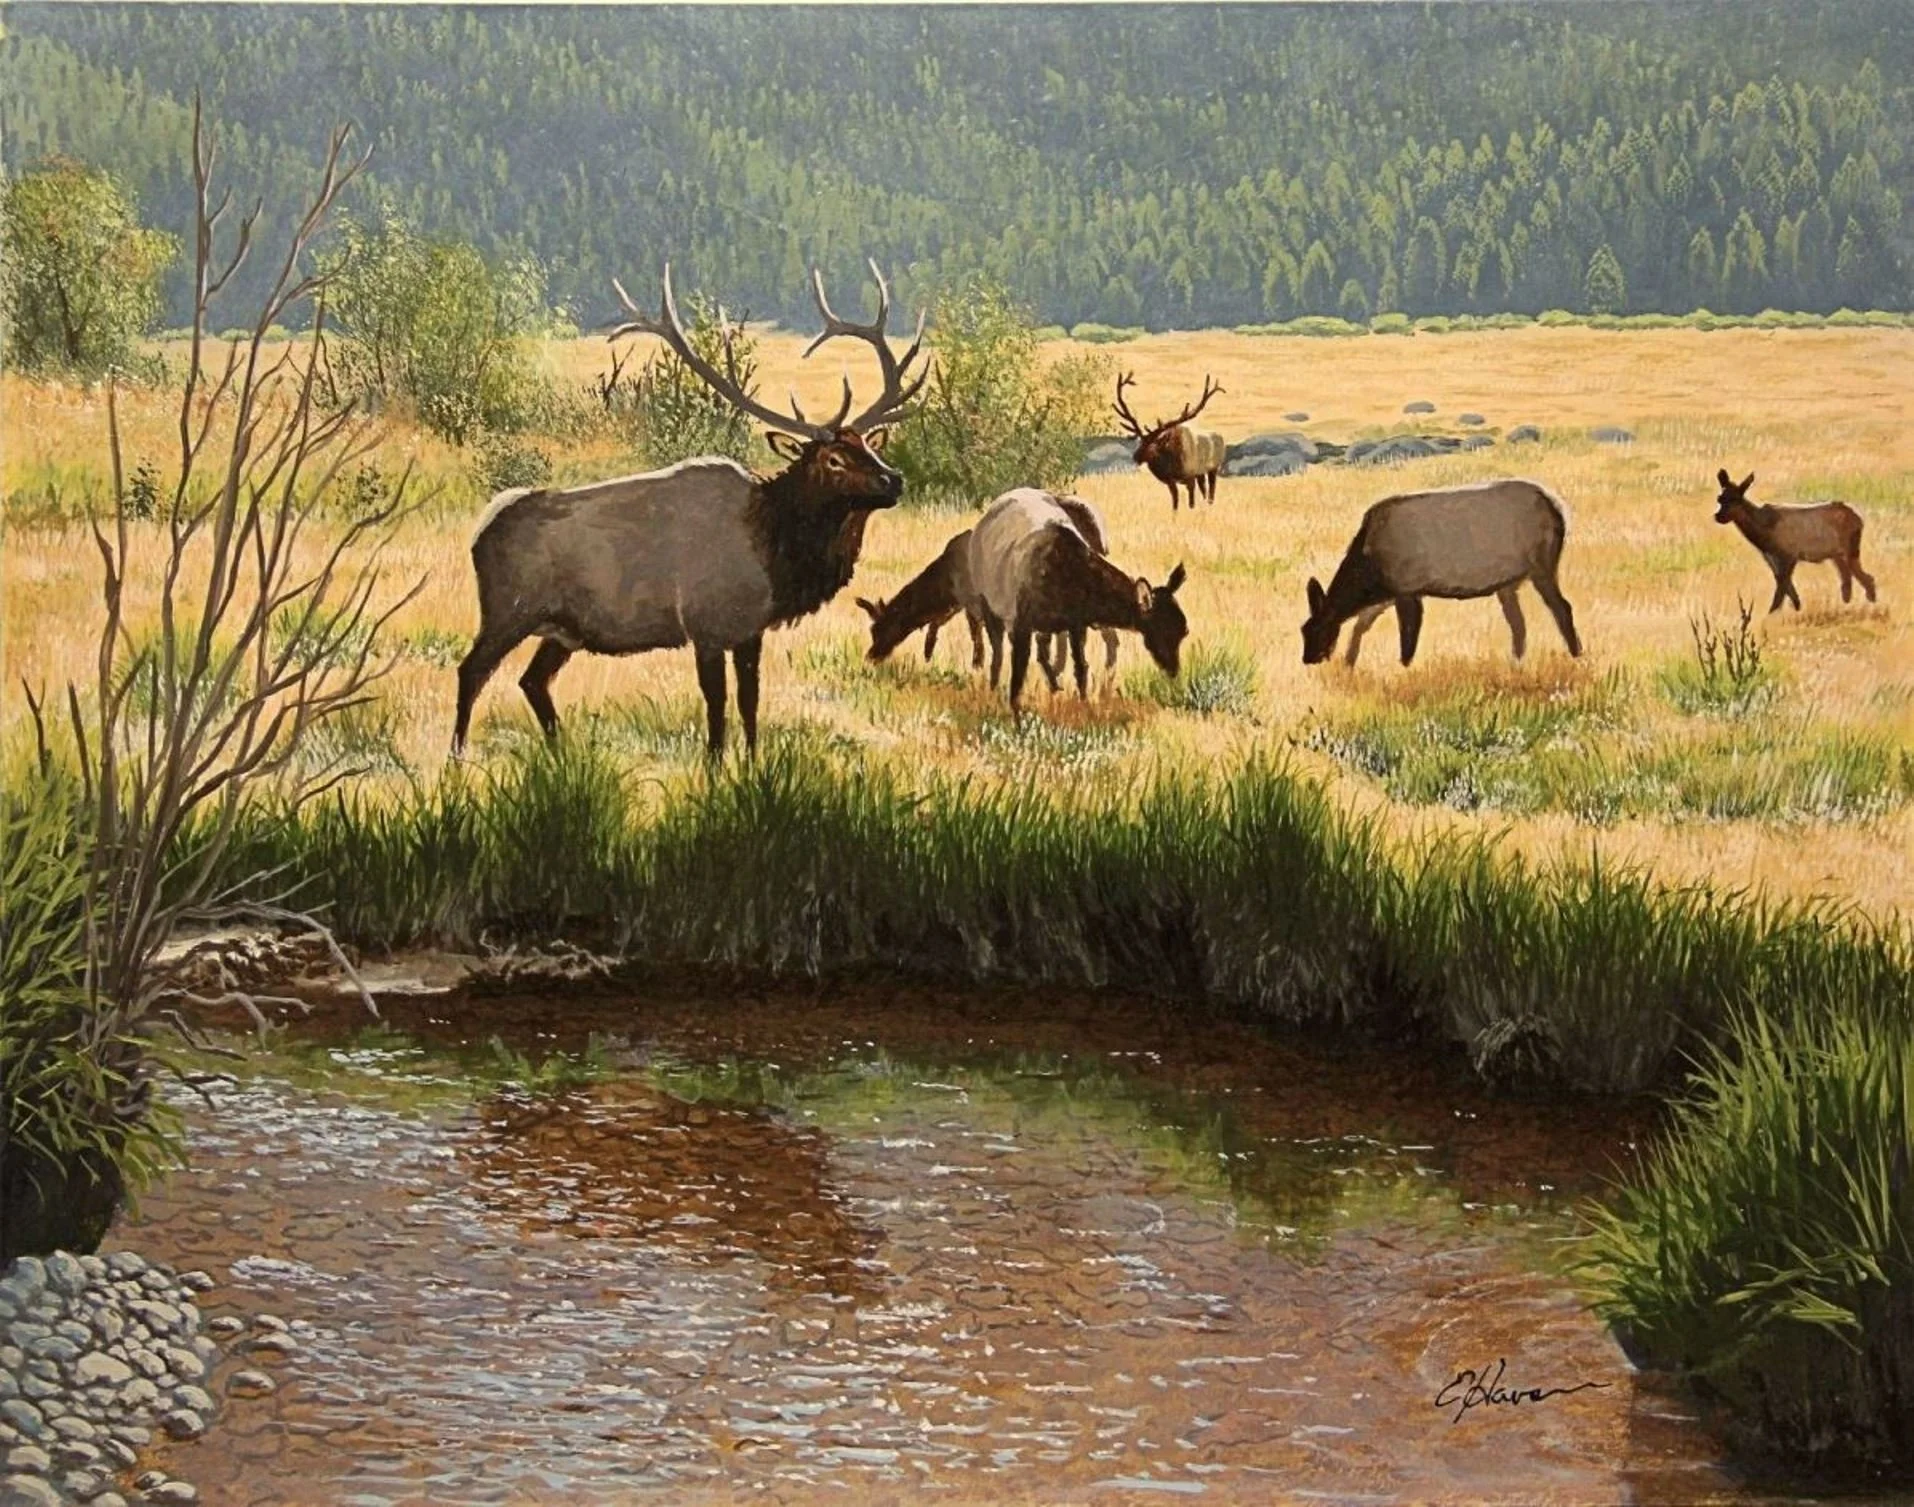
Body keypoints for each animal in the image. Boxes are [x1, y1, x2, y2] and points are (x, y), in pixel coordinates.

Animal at [452, 259, 925, 760]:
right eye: (834, 459)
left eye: (869, 447)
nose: (894, 479)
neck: (773, 553)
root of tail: (481, 531)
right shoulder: (706, 624)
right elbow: (716, 706)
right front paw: (716, 766)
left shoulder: (750, 630)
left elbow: (750, 701)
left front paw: (753, 763)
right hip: (508, 610)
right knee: (472, 670)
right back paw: (458, 757)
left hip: (562, 629)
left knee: (532, 681)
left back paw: (562, 750)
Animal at [967, 488, 1187, 714]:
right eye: (1162, 630)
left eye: (1183, 632)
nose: (1174, 671)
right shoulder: (1022, 624)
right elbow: (1017, 676)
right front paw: (1016, 713)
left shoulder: (1076, 624)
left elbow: (1081, 668)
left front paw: (1084, 706)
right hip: (989, 605)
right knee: (998, 654)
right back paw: (994, 689)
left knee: (1043, 652)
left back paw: (1054, 686)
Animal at [1113, 372, 1228, 512]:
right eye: (1140, 442)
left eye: (1152, 446)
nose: (1135, 457)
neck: (1171, 464)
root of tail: (1221, 437)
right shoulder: (1171, 481)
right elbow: (1175, 502)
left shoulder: (1190, 476)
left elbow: (1191, 503)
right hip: (1200, 473)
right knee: (1204, 489)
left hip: (1213, 467)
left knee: (1211, 490)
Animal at [1301, 479, 1581, 668]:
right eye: (1303, 630)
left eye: (1318, 630)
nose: (1308, 659)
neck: (1370, 572)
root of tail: (1559, 511)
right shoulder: (1389, 593)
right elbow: (1362, 624)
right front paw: (1349, 663)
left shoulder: (1407, 589)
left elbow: (1407, 642)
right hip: (1509, 582)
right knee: (1518, 623)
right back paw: (1517, 663)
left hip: (1541, 564)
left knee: (1562, 607)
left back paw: (1577, 654)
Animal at [1712, 469, 1876, 612]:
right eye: (1719, 498)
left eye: (1736, 499)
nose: (1718, 516)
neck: (1763, 534)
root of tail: (1859, 519)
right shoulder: (1771, 557)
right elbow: (1784, 584)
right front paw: (1796, 607)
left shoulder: (1789, 554)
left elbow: (1782, 585)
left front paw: (1773, 612)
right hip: (1837, 555)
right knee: (1848, 580)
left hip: (1851, 548)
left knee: (1867, 578)